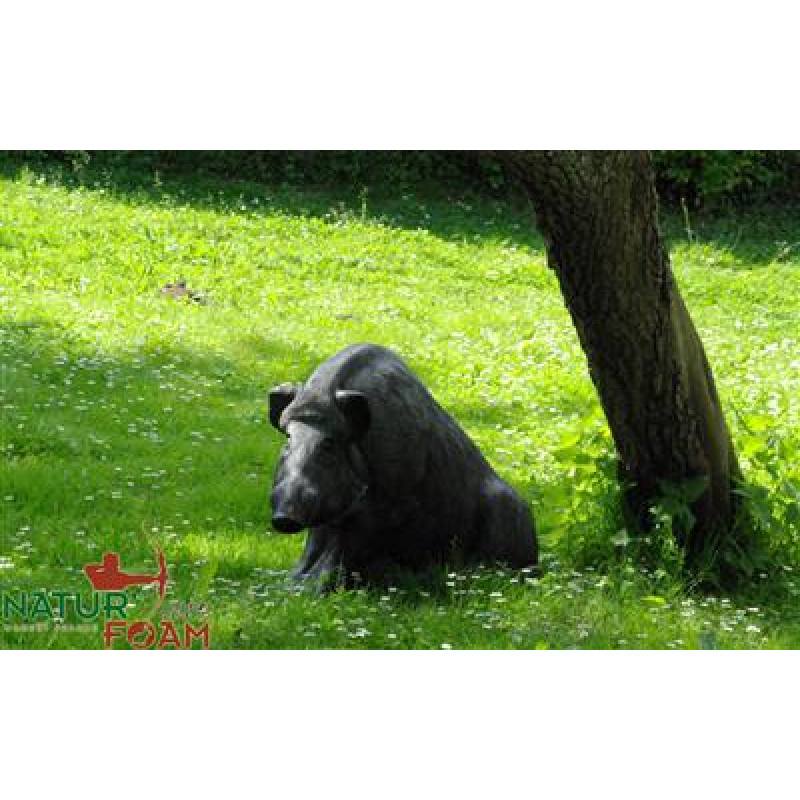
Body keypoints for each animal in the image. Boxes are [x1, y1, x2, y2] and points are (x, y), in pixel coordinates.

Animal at [268, 343, 537, 588]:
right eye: (288, 439)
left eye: (329, 444)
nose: (284, 517)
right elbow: (316, 544)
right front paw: (293, 586)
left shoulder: (387, 506)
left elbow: (345, 549)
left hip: (507, 515)